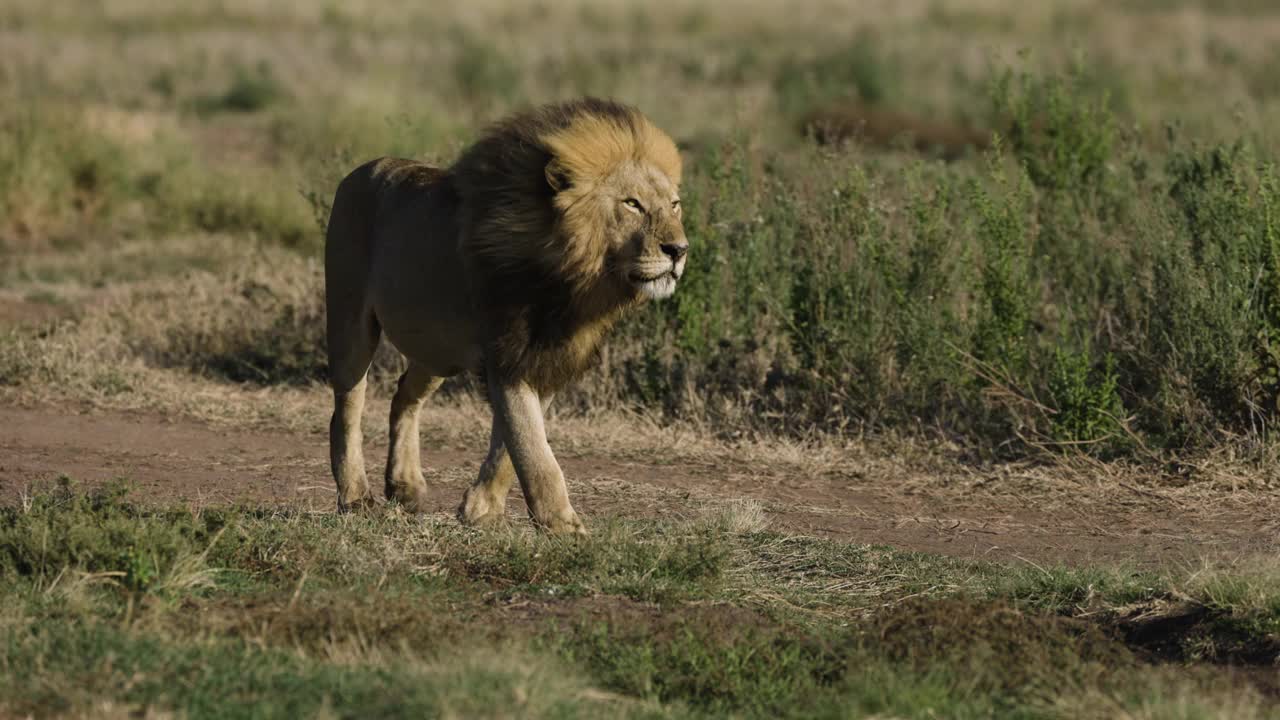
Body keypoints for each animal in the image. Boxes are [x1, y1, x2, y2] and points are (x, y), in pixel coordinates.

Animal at [330, 98, 691, 530]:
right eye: (632, 204)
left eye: (674, 205)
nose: (679, 250)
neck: (571, 283)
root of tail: (361, 168)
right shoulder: (507, 352)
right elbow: (532, 448)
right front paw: (565, 528)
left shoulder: (548, 358)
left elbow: (511, 444)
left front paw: (480, 509)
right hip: (351, 323)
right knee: (348, 407)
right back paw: (355, 496)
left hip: (437, 350)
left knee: (404, 395)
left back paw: (405, 486)